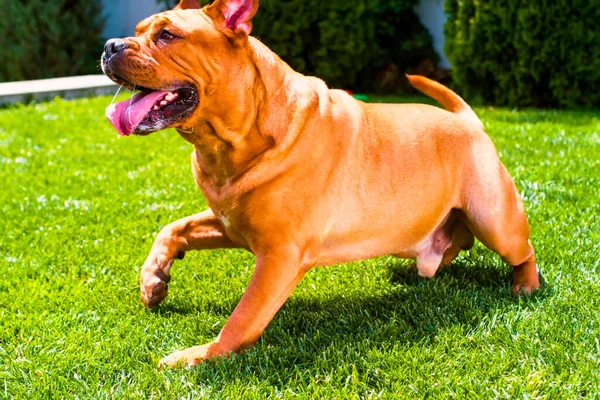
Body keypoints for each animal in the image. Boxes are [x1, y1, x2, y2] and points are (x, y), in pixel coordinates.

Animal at [99, 0, 540, 368]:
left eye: (167, 35)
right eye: (138, 30)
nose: (109, 45)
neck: (229, 144)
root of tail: (468, 118)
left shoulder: (279, 256)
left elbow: (242, 318)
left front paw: (199, 355)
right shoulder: (230, 223)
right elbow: (173, 228)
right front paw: (153, 278)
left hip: (495, 222)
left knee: (524, 250)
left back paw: (526, 285)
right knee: (451, 246)